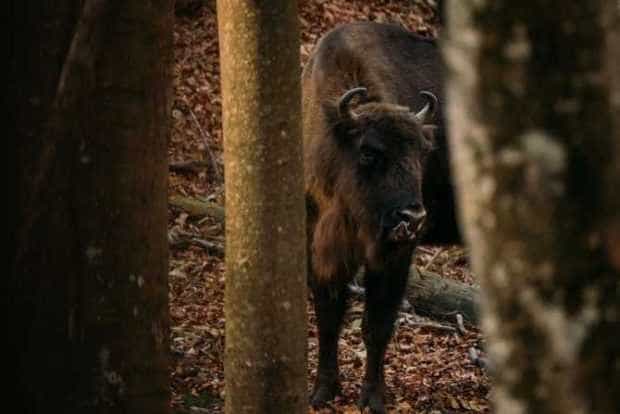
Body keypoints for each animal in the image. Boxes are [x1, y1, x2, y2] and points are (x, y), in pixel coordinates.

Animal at [306, 23, 460, 414]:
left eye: (423, 151)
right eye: (369, 152)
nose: (413, 216)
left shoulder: (394, 254)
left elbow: (376, 324)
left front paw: (373, 398)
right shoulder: (316, 244)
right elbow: (328, 318)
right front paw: (322, 391)